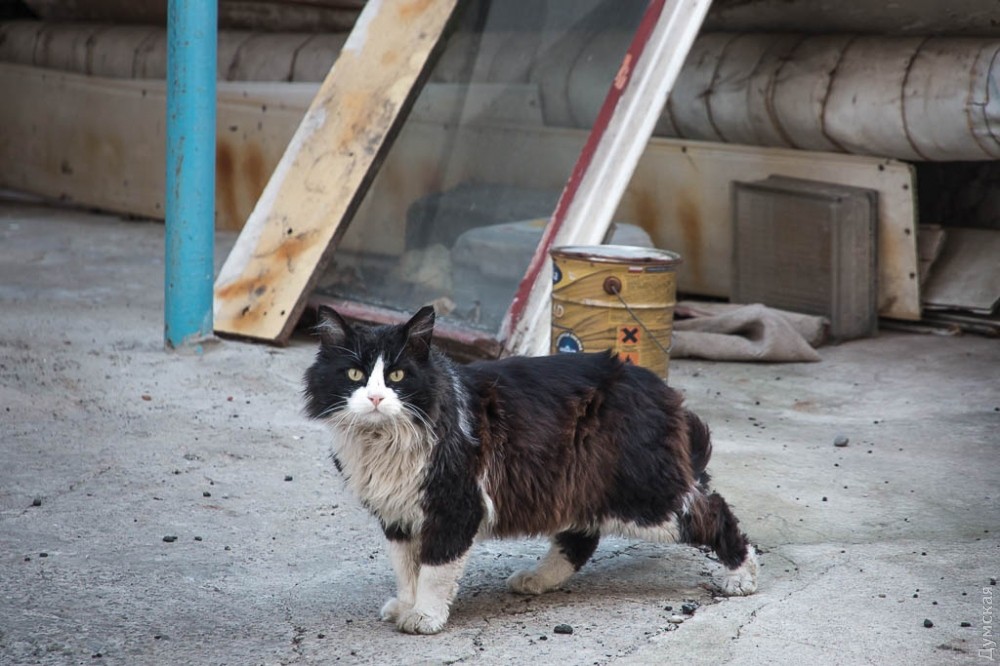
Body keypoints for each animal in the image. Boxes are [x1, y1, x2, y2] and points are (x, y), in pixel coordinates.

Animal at [303, 305, 758, 635]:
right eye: (355, 374)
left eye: (397, 375)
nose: (376, 398)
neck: (382, 441)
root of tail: (658, 387)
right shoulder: (396, 514)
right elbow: (405, 568)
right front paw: (405, 604)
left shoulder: (455, 505)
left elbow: (433, 570)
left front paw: (425, 617)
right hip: (578, 487)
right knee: (580, 537)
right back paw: (538, 579)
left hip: (642, 496)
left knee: (713, 510)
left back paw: (742, 576)